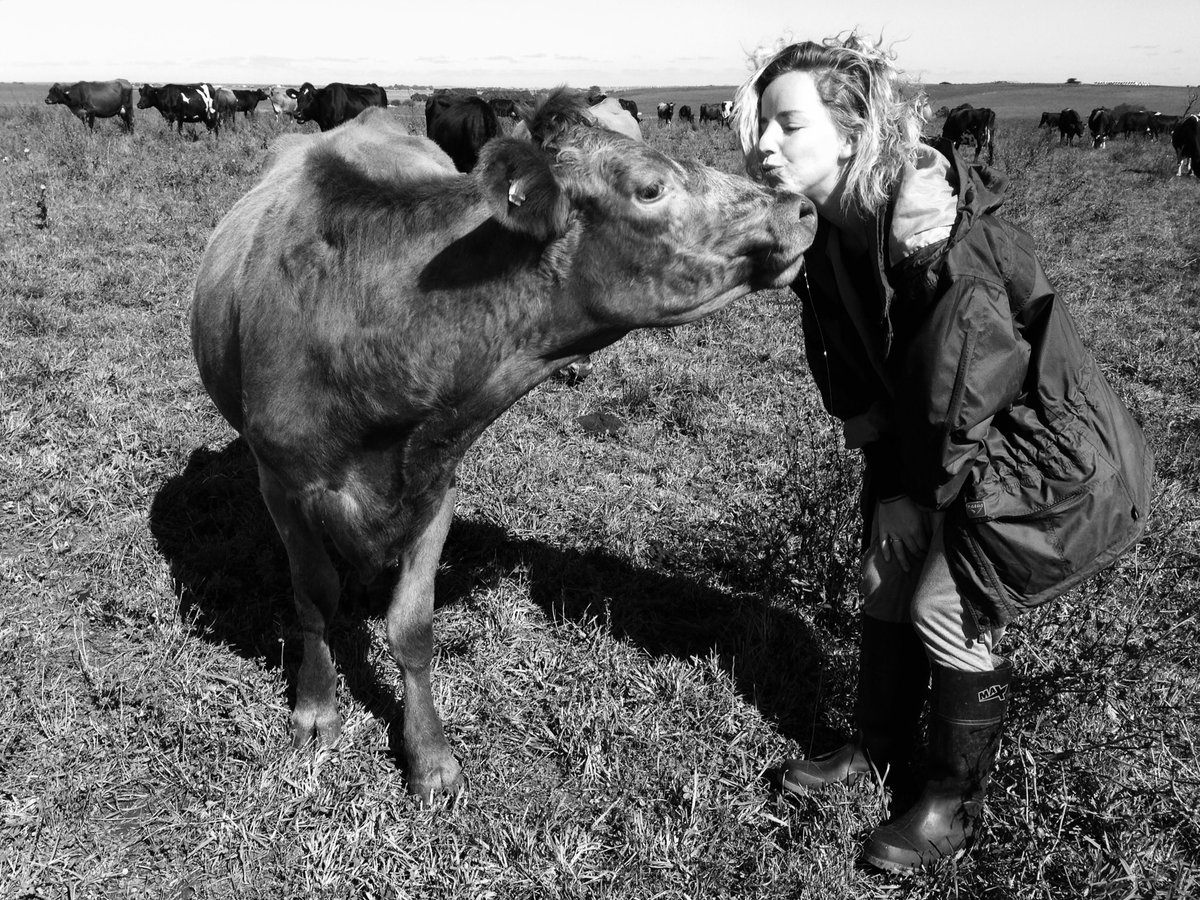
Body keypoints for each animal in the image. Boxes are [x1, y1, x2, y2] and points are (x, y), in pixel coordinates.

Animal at [190, 94, 815, 801]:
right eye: (650, 187)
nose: (800, 207)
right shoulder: (283, 484)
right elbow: (314, 597)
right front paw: (317, 709)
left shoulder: (437, 480)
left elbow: (412, 627)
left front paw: (429, 756)